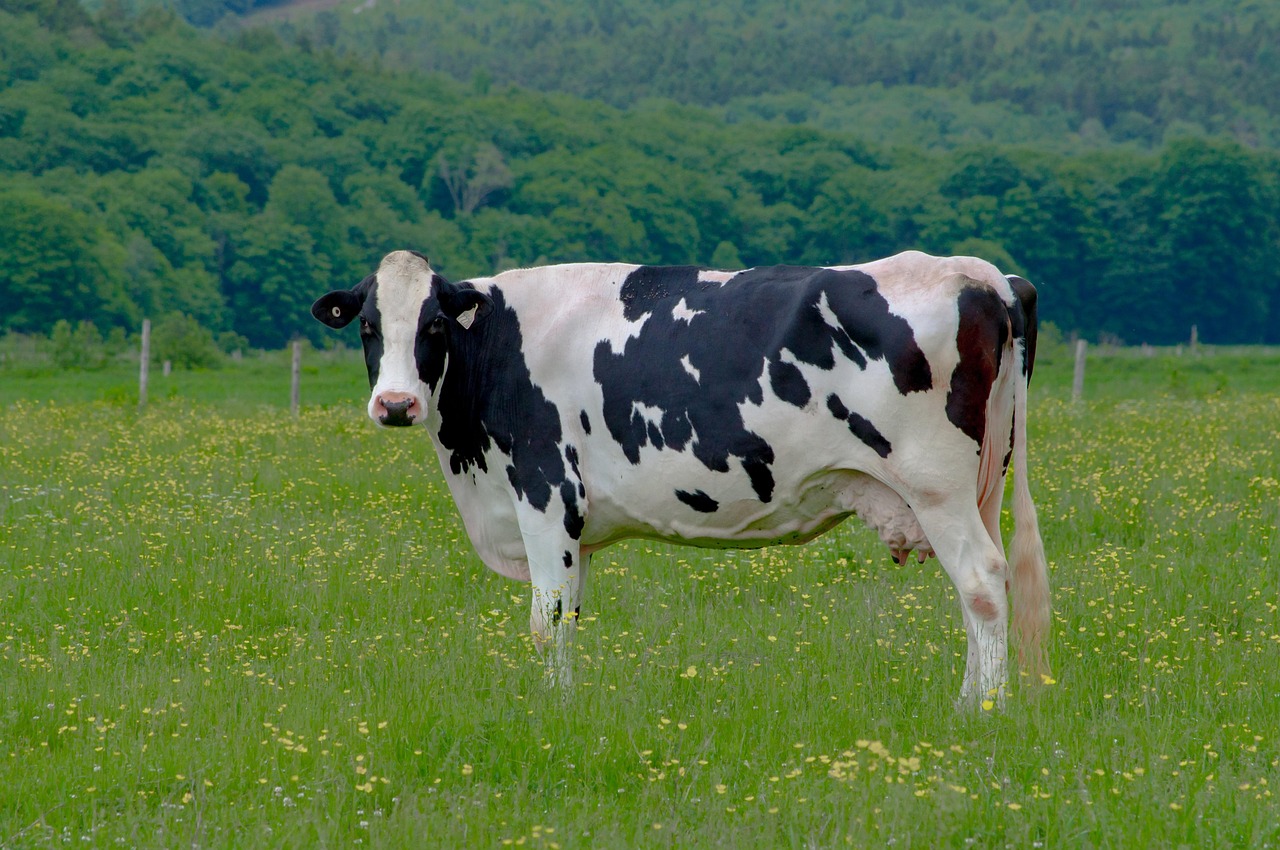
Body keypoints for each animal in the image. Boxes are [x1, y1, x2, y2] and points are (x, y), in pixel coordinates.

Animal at [312, 249, 1050, 704]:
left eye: (435, 323)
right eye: (369, 326)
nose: (396, 405)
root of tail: (984, 274)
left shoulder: (546, 490)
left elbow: (546, 620)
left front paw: (550, 711)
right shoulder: (575, 526)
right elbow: (571, 613)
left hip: (937, 486)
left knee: (982, 582)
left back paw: (979, 713)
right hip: (980, 486)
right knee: (977, 595)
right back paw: (971, 700)